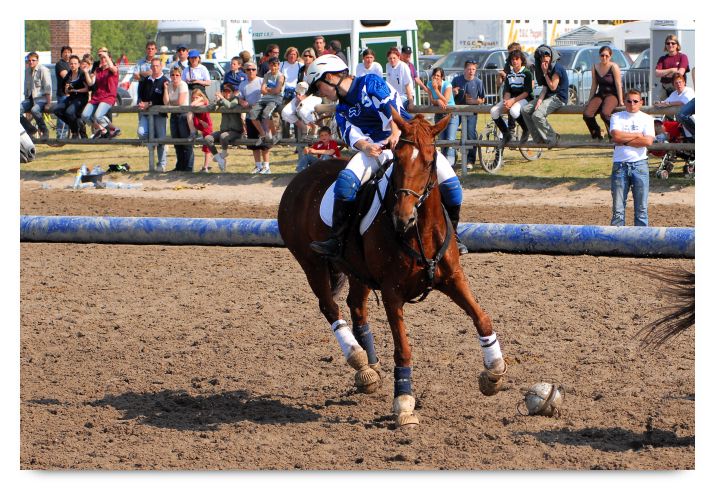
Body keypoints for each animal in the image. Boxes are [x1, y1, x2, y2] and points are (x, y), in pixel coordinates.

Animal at [277, 108, 507, 427]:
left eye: (430, 160)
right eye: (397, 159)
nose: (403, 218)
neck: (419, 231)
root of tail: (300, 178)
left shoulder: (453, 278)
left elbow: (483, 319)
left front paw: (493, 373)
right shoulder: (392, 293)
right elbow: (403, 349)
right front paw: (404, 403)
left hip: (356, 271)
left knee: (356, 307)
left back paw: (369, 368)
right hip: (311, 264)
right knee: (330, 307)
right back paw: (357, 358)